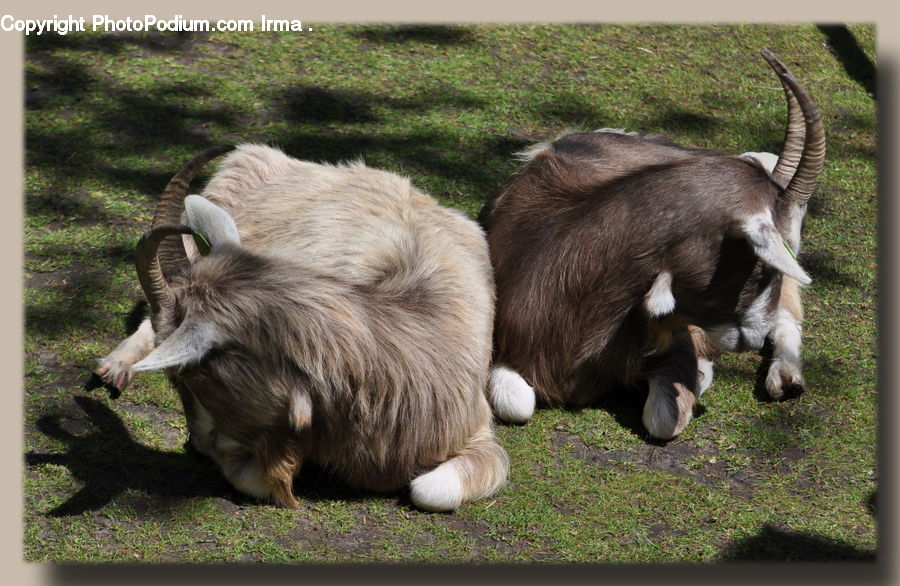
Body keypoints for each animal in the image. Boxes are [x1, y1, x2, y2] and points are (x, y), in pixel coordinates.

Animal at [481, 50, 825, 439]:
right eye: (766, 265)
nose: (756, 336)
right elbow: (515, 403)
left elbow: (662, 418)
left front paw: (702, 376)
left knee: (789, 316)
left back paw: (786, 377)